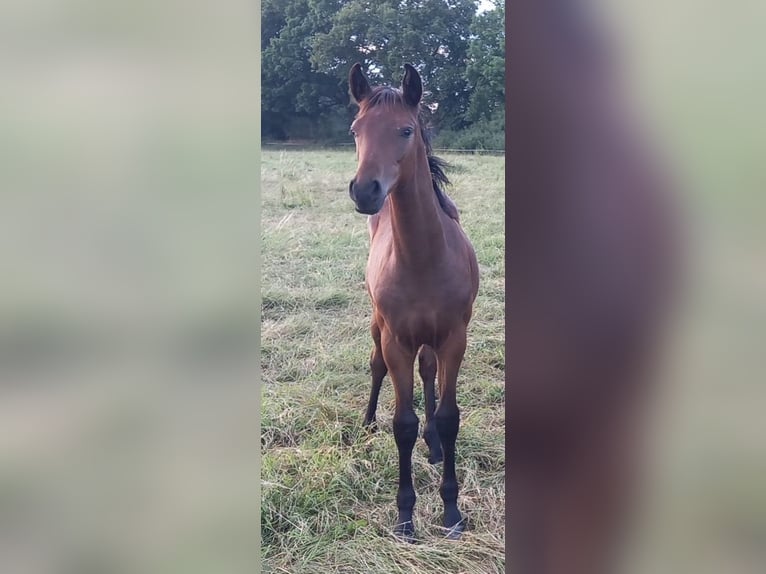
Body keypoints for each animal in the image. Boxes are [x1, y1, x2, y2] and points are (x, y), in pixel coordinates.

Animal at [347, 62, 480, 542]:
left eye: (406, 130)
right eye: (355, 130)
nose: (365, 190)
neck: (424, 257)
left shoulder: (454, 337)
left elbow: (449, 414)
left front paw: (452, 512)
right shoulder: (395, 339)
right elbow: (403, 424)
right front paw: (405, 517)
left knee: (428, 372)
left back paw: (435, 445)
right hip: (378, 326)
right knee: (375, 366)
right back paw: (367, 422)